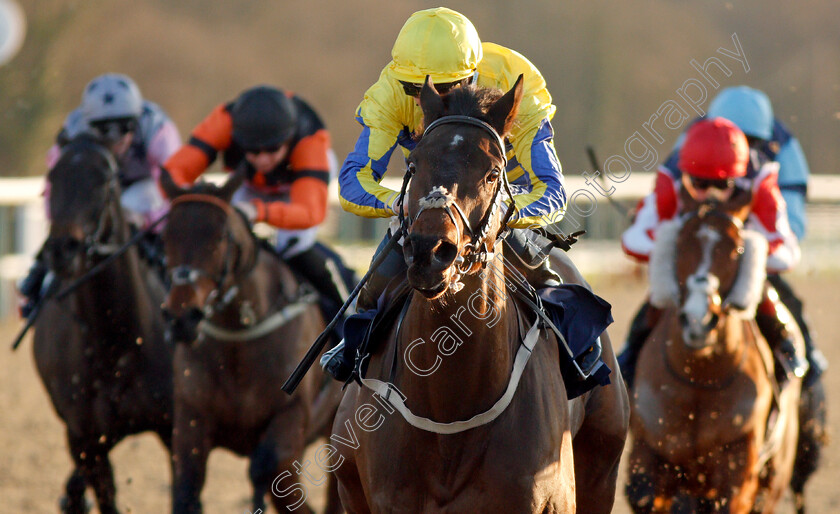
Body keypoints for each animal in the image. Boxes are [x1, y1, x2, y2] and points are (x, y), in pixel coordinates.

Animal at [32, 134, 174, 510]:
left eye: (104, 181)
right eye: (52, 178)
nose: (63, 248)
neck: (116, 340)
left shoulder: (174, 426)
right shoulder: (85, 437)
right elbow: (106, 495)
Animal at [158, 172, 342, 512]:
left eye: (220, 237)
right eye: (166, 237)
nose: (181, 317)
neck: (239, 340)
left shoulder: (290, 415)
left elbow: (266, 469)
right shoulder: (191, 418)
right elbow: (188, 485)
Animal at [632, 202, 800, 510]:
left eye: (737, 249)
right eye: (681, 243)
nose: (699, 320)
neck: (699, 376)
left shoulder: (738, 461)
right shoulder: (649, 452)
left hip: (775, 476)